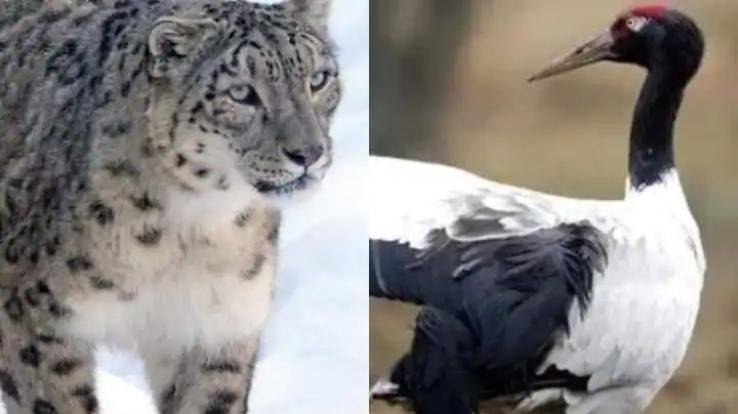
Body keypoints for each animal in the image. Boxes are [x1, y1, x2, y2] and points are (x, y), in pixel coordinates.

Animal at [0, 0, 341, 412]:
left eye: (319, 78)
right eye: (241, 92)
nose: (308, 153)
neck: (196, 229)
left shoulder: (218, 325)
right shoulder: (33, 314)